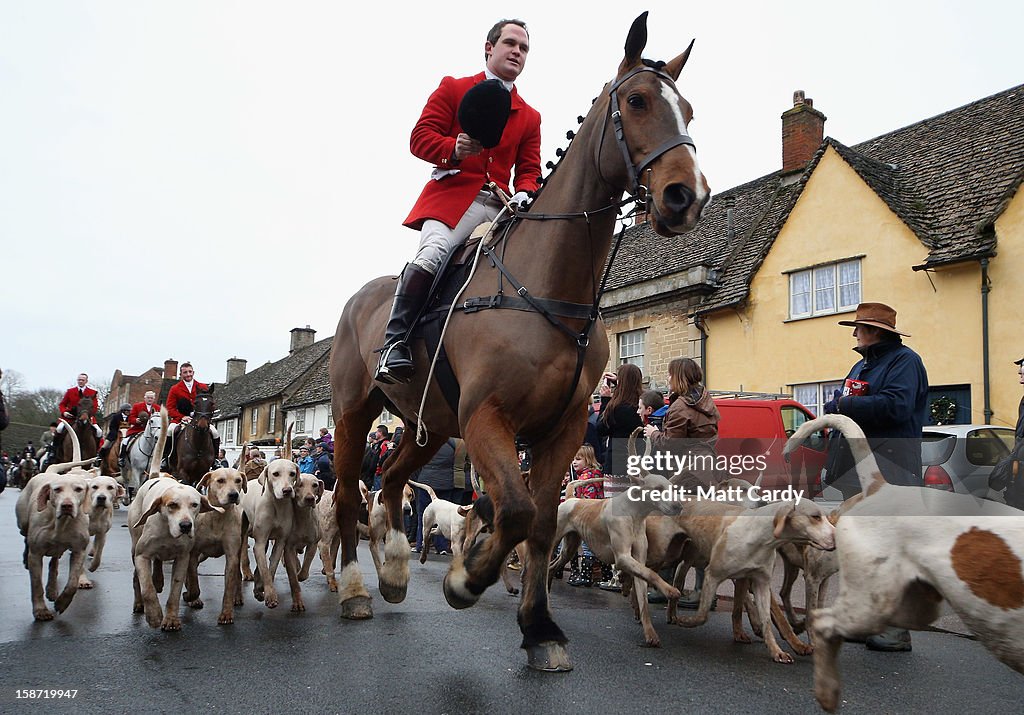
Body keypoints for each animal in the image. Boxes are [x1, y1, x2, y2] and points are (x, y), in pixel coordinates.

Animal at [329, 11, 712, 667]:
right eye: (636, 101)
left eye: (687, 107)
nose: (686, 196)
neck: (550, 283)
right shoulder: (490, 418)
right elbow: (511, 508)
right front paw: (466, 579)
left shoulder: (561, 430)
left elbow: (538, 521)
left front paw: (539, 627)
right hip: (356, 414)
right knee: (354, 498)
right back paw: (358, 588)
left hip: (431, 426)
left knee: (394, 481)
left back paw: (397, 571)